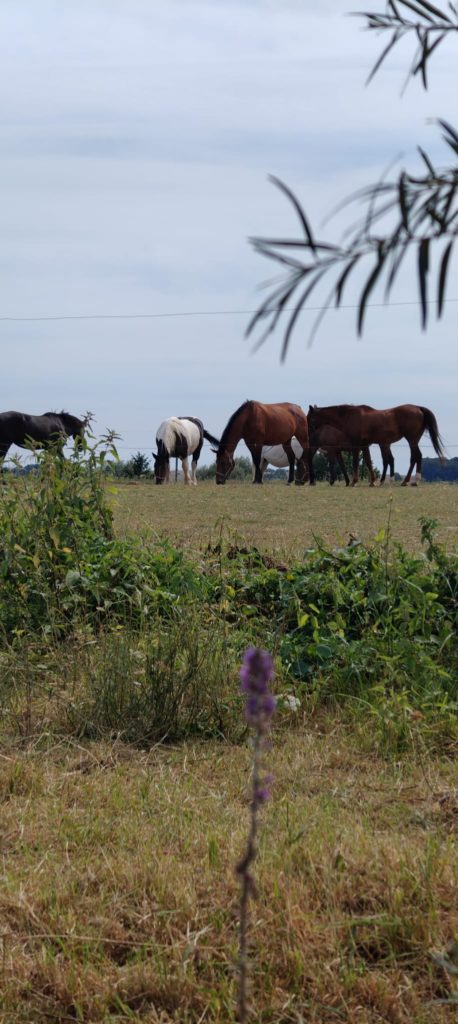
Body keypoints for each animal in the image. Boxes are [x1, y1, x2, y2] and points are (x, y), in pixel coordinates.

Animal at [308, 404, 444, 486]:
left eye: (309, 418)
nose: (309, 433)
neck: (349, 416)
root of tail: (418, 408)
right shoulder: (364, 445)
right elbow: (368, 461)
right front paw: (372, 481)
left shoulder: (356, 445)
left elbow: (355, 462)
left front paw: (354, 482)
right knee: (415, 457)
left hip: (411, 440)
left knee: (415, 457)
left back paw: (410, 481)